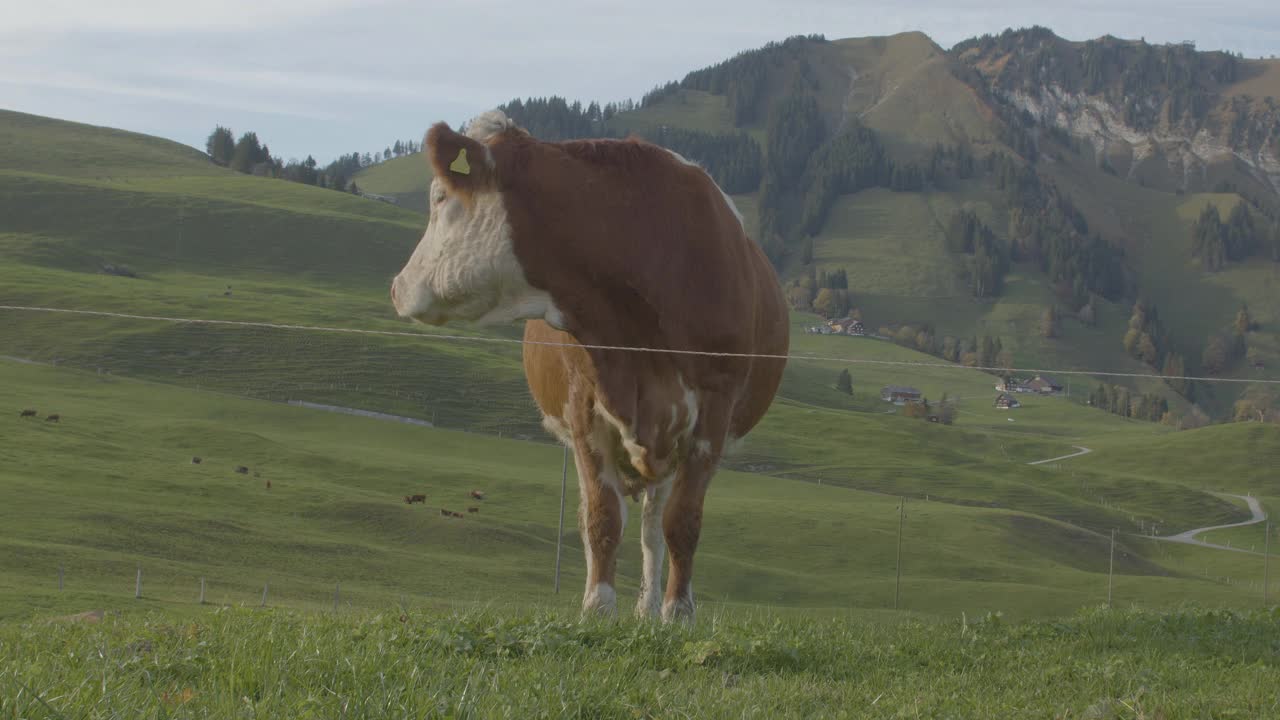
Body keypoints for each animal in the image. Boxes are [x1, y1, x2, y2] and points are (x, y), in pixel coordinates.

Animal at [389, 109, 788, 620]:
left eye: (439, 197)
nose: (396, 286)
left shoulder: (714, 410)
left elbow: (683, 523)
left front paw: (678, 613)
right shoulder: (585, 407)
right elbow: (601, 518)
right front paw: (597, 609)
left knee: (653, 530)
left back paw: (651, 609)